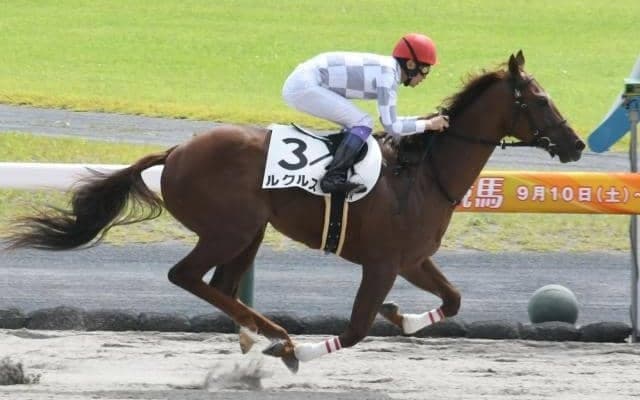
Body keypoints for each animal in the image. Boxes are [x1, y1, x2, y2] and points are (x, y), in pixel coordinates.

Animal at [6, 51, 584, 372]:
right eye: (540, 100)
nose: (577, 144)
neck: (423, 175)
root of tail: (175, 152)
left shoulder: (413, 259)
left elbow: (454, 299)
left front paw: (403, 315)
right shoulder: (380, 263)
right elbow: (356, 329)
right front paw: (302, 353)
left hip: (251, 231)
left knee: (222, 284)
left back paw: (257, 332)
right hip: (229, 228)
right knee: (187, 276)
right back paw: (277, 337)